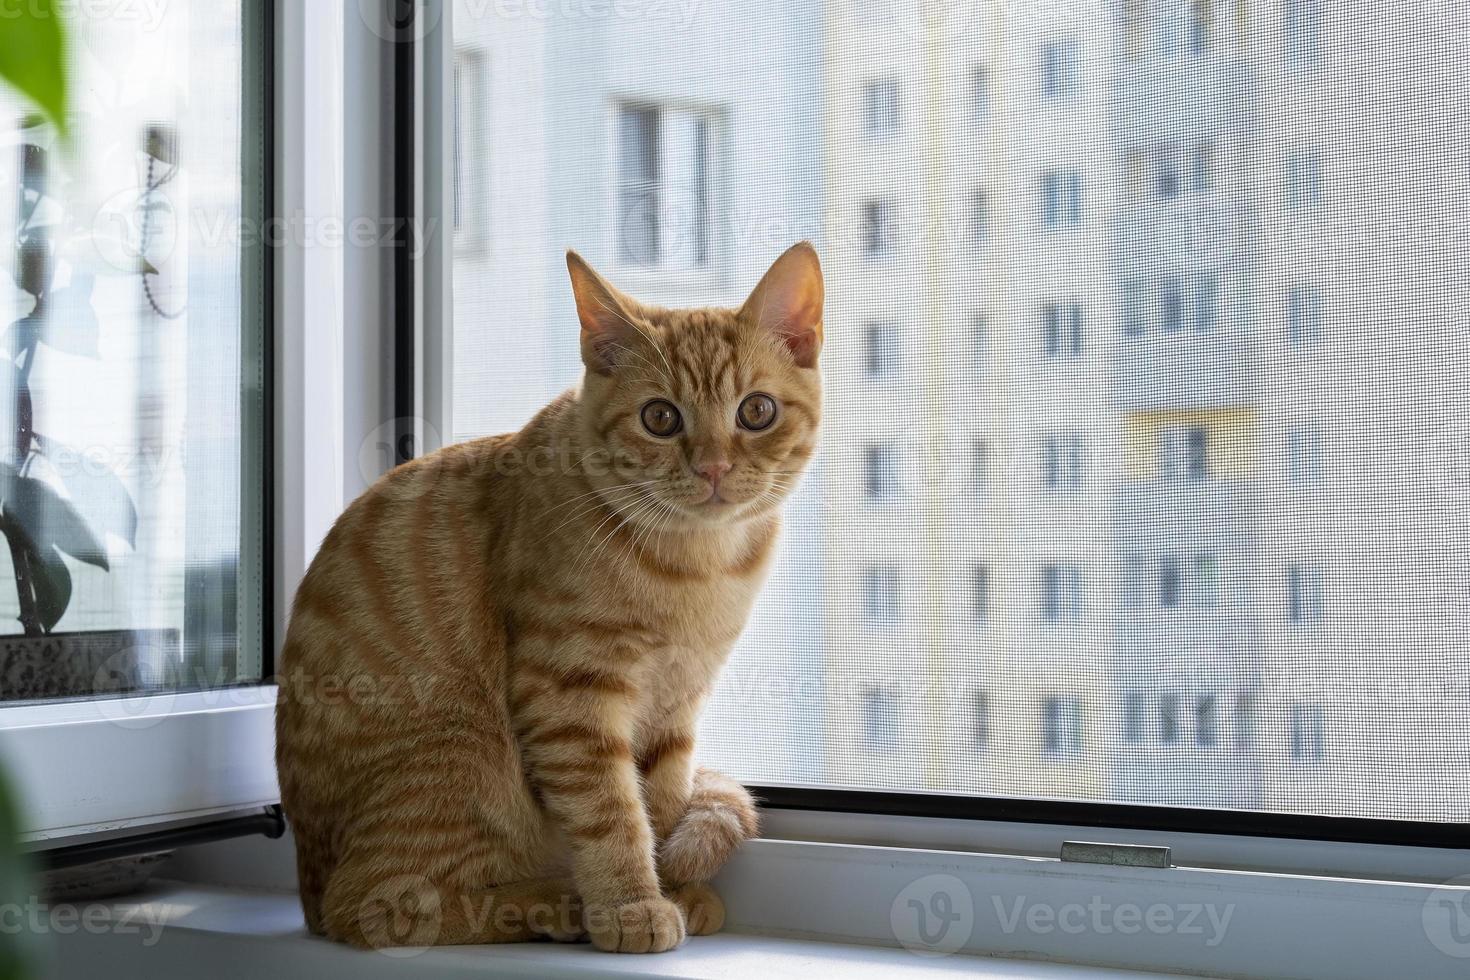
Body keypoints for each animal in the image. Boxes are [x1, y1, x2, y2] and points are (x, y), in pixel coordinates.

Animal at [276, 240, 829, 952]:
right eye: (660, 417)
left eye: (755, 411)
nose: (711, 467)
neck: (697, 566)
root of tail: (305, 891)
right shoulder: (570, 694)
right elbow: (612, 812)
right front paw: (631, 905)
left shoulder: (678, 704)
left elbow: (662, 801)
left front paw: (673, 888)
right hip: (461, 753)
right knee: (377, 904)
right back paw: (557, 904)